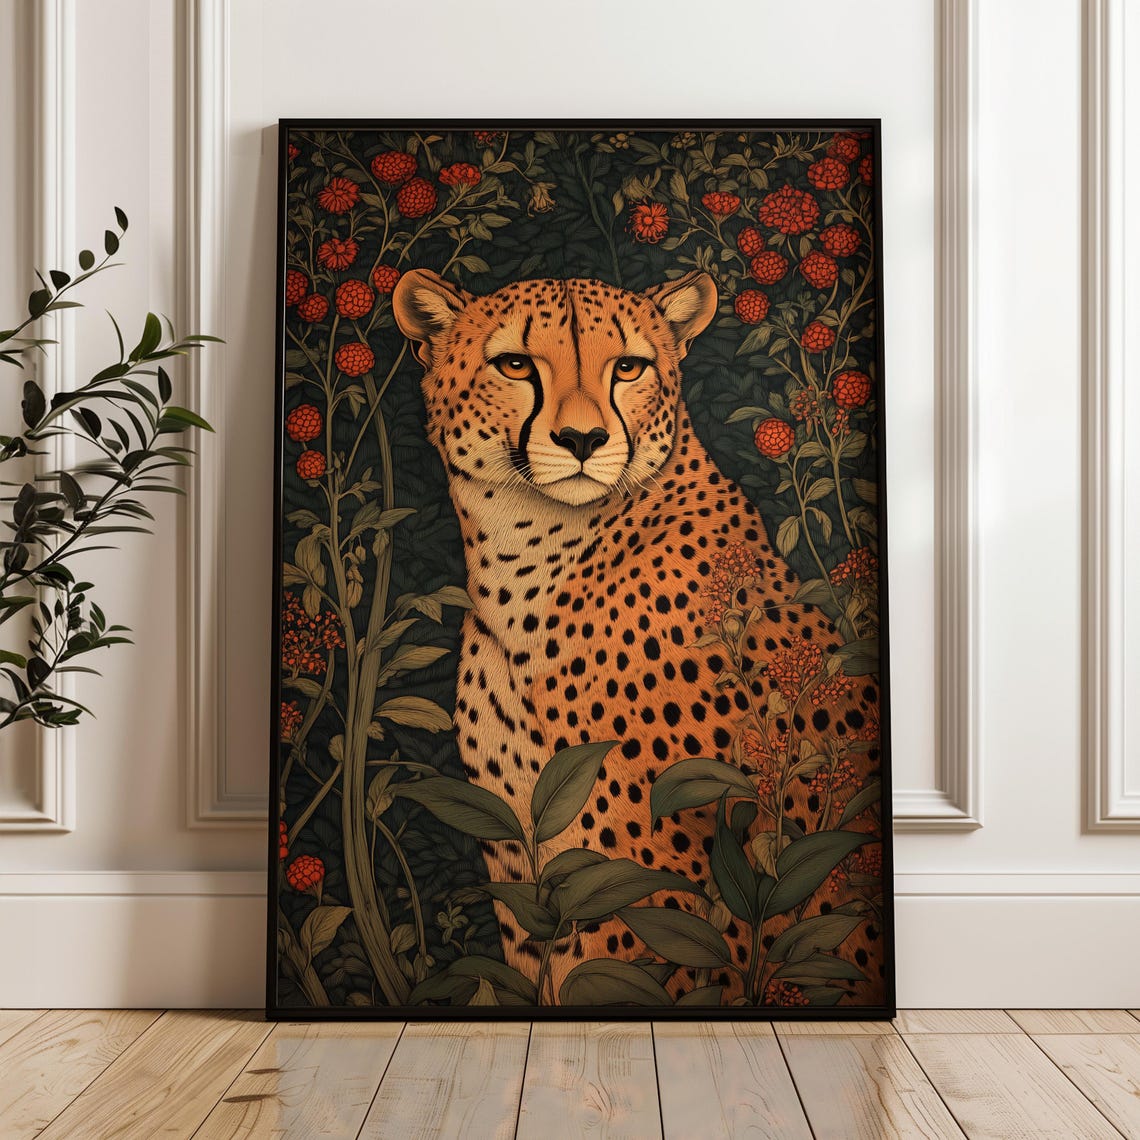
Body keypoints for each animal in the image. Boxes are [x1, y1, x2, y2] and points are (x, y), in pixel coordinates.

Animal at [393, 267, 883, 1005]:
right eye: (515, 365)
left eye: (628, 367)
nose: (582, 439)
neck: (525, 557)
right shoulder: (518, 852)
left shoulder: (635, 878)